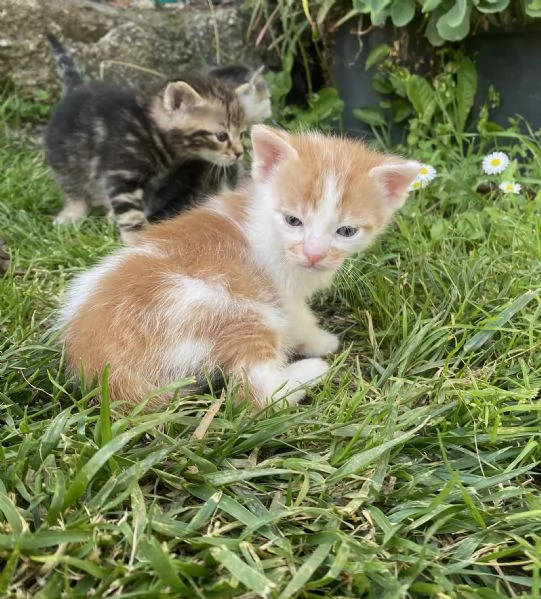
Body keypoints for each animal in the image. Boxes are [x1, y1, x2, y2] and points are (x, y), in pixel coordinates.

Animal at [60, 124, 422, 410]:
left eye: (346, 231)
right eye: (293, 221)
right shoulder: (278, 293)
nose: (314, 254)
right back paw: (311, 371)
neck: (266, 226)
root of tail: (101, 367)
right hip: (233, 308)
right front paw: (319, 340)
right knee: (259, 392)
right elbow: (299, 318)